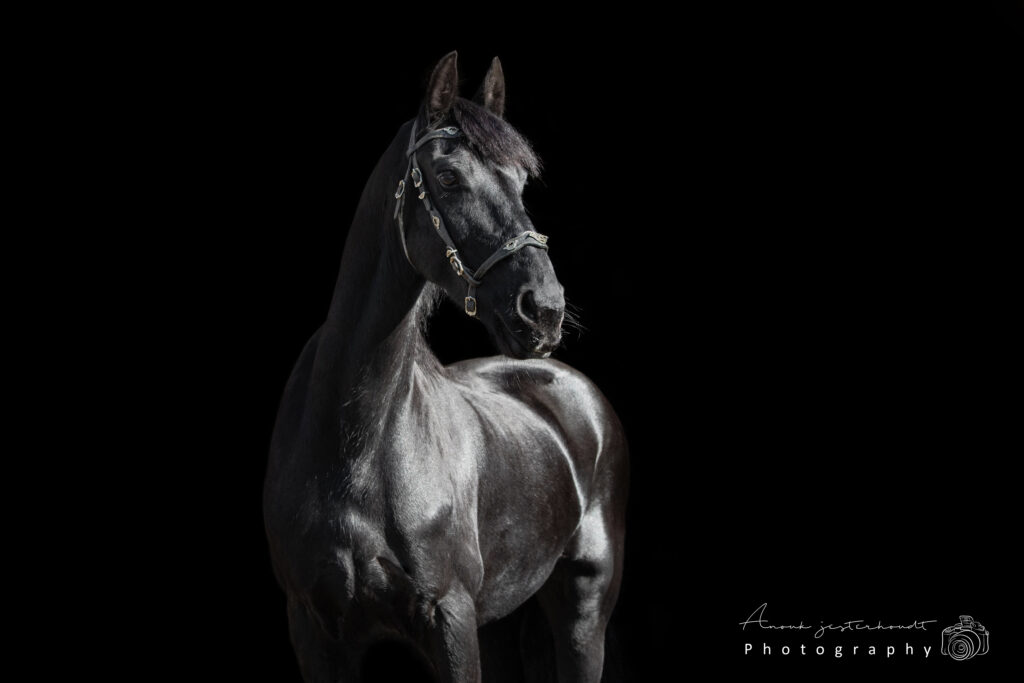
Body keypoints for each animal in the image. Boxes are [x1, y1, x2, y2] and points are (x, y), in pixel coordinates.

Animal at [263, 51, 629, 683]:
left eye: (521, 181)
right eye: (449, 177)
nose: (544, 310)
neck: (353, 441)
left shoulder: (450, 620)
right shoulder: (312, 630)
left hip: (583, 612)